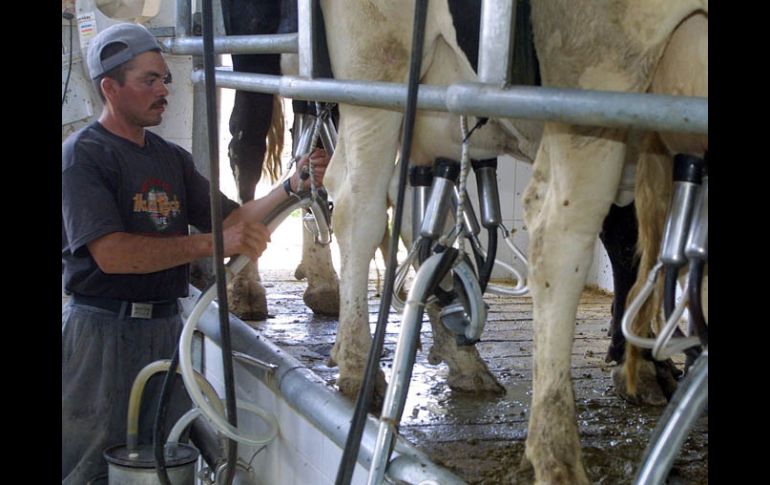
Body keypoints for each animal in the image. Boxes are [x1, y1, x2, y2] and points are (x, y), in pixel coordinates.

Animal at [316, 0, 704, 484]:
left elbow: (630, 246)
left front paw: (646, 365)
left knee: (404, 204)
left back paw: (462, 356)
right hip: (382, 68)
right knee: (361, 205)